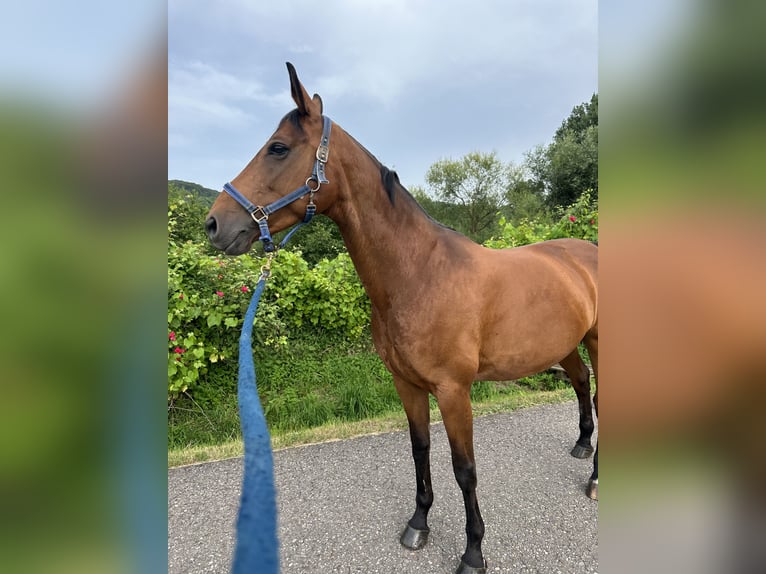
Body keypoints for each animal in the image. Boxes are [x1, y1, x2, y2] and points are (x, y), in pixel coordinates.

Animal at [206, 63, 600, 574]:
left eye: (278, 147)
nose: (215, 224)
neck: (419, 275)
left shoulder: (454, 391)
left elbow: (464, 469)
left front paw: (473, 551)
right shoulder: (407, 384)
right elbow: (420, 451)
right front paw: (418, 524)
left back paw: (595, 480)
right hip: (565, 344)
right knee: (581, 382)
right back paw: (582, 445)